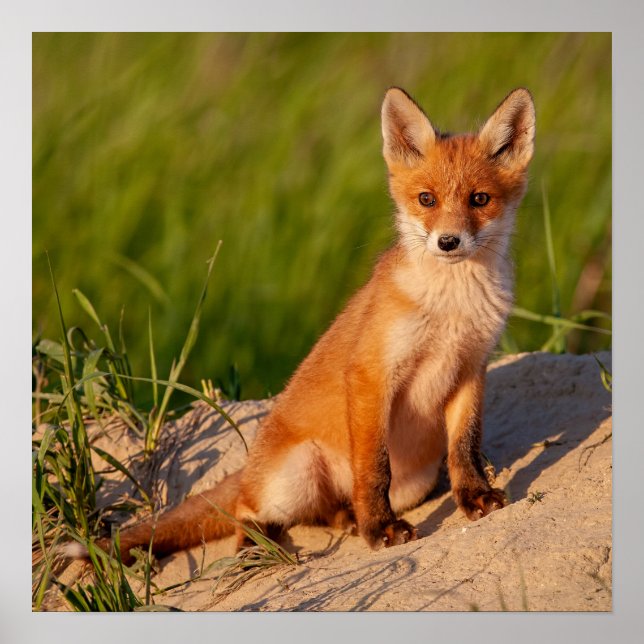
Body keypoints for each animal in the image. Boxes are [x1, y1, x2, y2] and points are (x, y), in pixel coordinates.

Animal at [72, 87, 535, 562]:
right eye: (427, 199)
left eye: (479, 199)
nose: (448, 241)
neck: (451, 311)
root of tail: (250, 466)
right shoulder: (371, 375)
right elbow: (374, 470)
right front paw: (379, 529)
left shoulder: (470, 367)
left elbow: (465, 448)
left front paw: (474, 497)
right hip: (295, 474)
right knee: (249, 511)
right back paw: (265, 546)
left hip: (412, 482)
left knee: (324, 511)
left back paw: (346, 519)